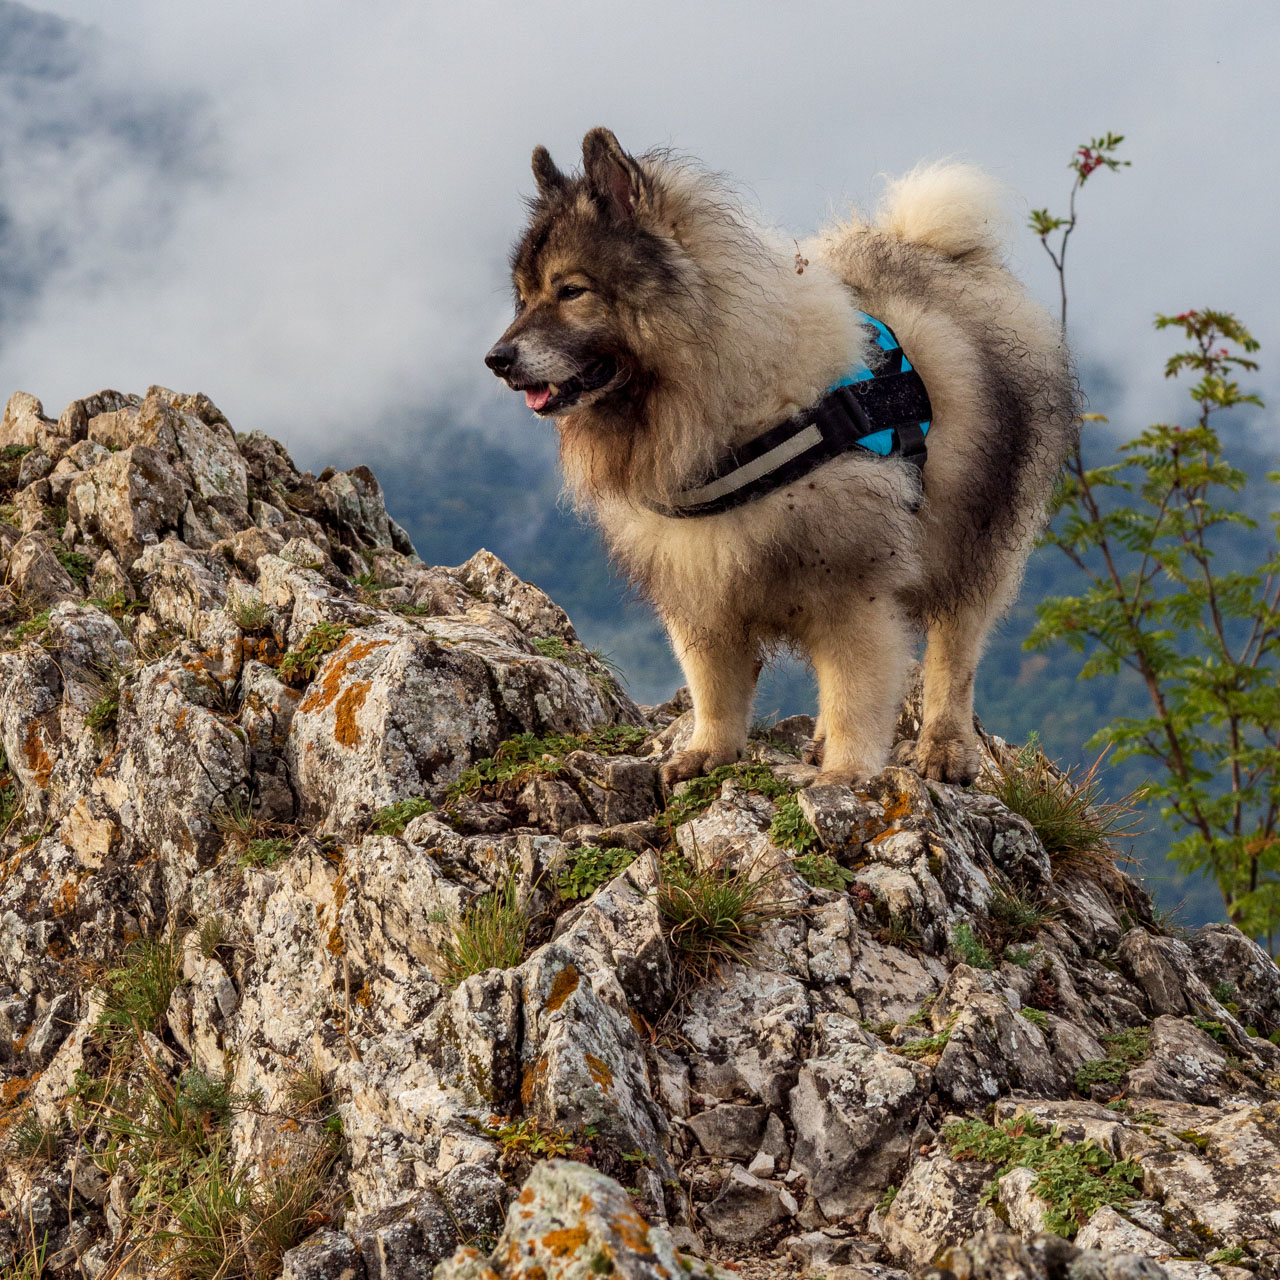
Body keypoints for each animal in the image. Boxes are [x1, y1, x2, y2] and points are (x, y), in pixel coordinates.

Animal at [483, 129, 1075, 788]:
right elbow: (714, 687)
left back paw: (944, 748)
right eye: (524, 296)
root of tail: (940, 253)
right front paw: (708, 751)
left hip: (976, 541)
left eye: (571, 290)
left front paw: (846, 776)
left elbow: (855, 692)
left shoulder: (851, 588)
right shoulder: (700, 590)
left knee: (955, 654)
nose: (497, 359)